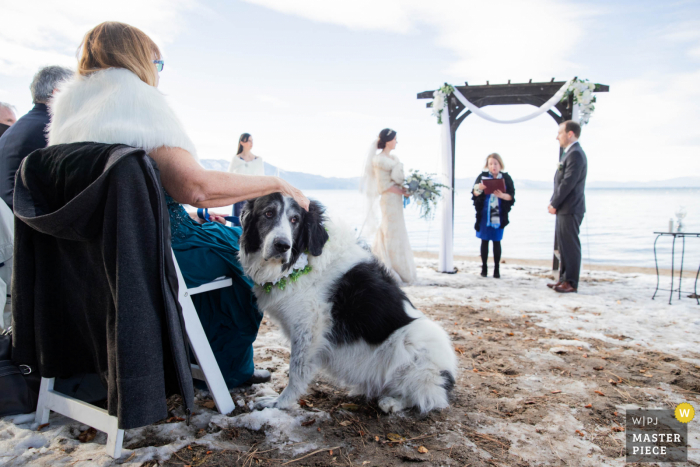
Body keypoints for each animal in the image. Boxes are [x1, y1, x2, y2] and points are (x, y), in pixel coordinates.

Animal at [239, 194, 460, 414]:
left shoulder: (309, 327)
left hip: (412, 344)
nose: (282, 245)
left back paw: (394, 402)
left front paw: (279, 403)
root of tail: (448, 374)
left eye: (295, 220)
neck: (303, 258)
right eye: (268, 213)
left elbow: (296, 370)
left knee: (430, 397)